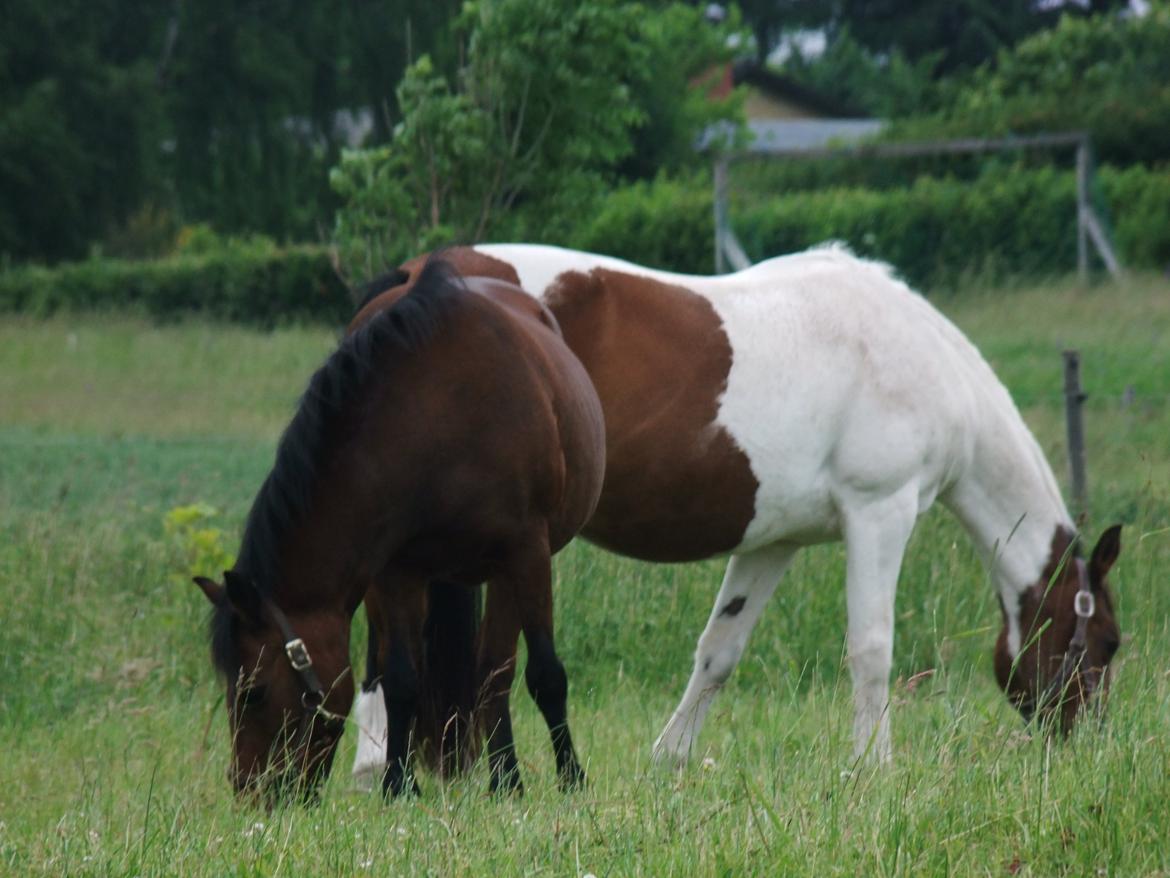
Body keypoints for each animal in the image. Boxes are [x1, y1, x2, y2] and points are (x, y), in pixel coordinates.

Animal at [191, 256, 603, 805]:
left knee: (499, 668)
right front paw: (398, 785)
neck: (438, 418)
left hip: (508, 569)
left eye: (253, 692)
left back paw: (507, 779)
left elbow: (545, 674)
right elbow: (402, 679)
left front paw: (572, 778)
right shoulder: (397, 571)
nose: (250, 791)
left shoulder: (527, 552)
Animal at [348, 242, 1123, 782]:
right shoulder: (881, 513)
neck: (916, 356)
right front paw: (873, 767)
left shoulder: (771, 543)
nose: (1084, 744)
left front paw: (669, 758)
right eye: (1109, 644)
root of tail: (412, 279)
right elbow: (871, 649)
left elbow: (718, 651)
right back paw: (373, 764)